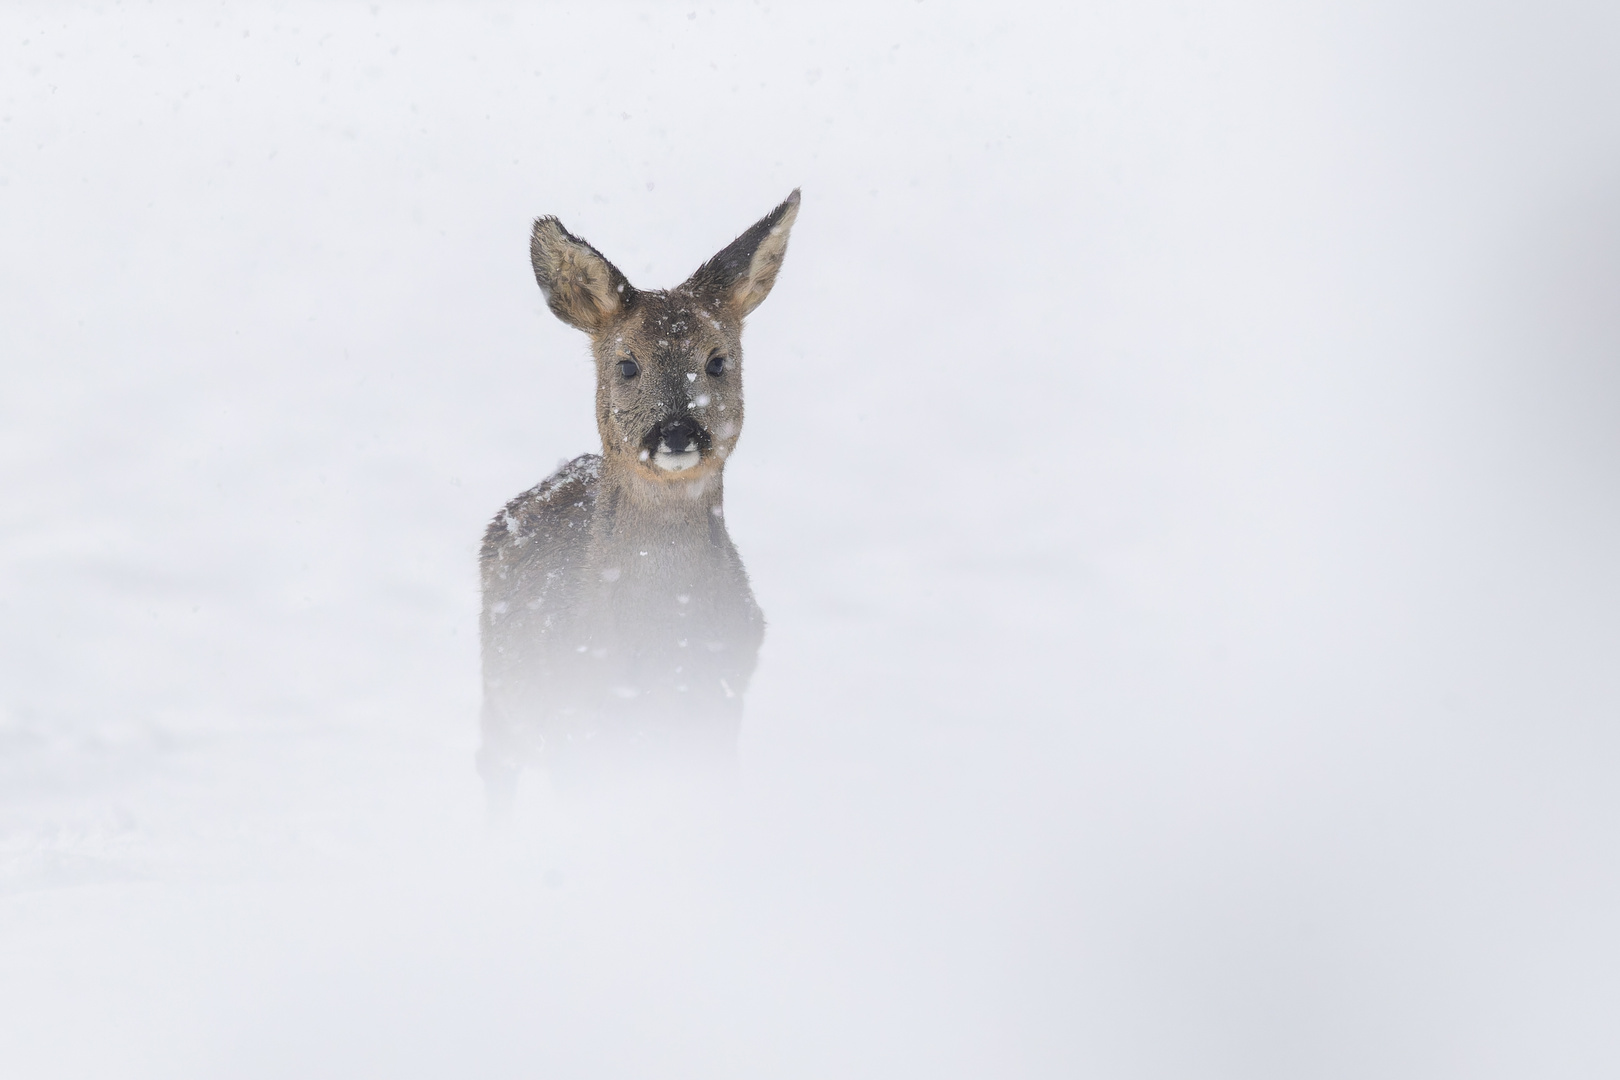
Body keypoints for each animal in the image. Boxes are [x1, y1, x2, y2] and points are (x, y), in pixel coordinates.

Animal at [473, 190, 800, 806]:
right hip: (498, 698)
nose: (677, 431)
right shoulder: (576, 728)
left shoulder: (721, 709)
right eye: (627, 364)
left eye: (717, 360)